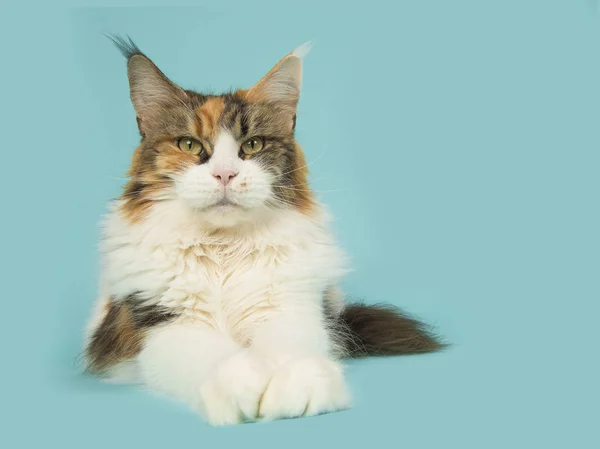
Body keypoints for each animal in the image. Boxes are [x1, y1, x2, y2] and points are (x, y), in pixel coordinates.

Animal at [82, 36, 442, 426]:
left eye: (252, 145)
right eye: (190, 145)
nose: (225, 174)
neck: (223, 251)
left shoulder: (289, 307)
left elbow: (291, 352)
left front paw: (298, 387)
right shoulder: (166, 323)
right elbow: (220, 359)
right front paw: (242, 390)